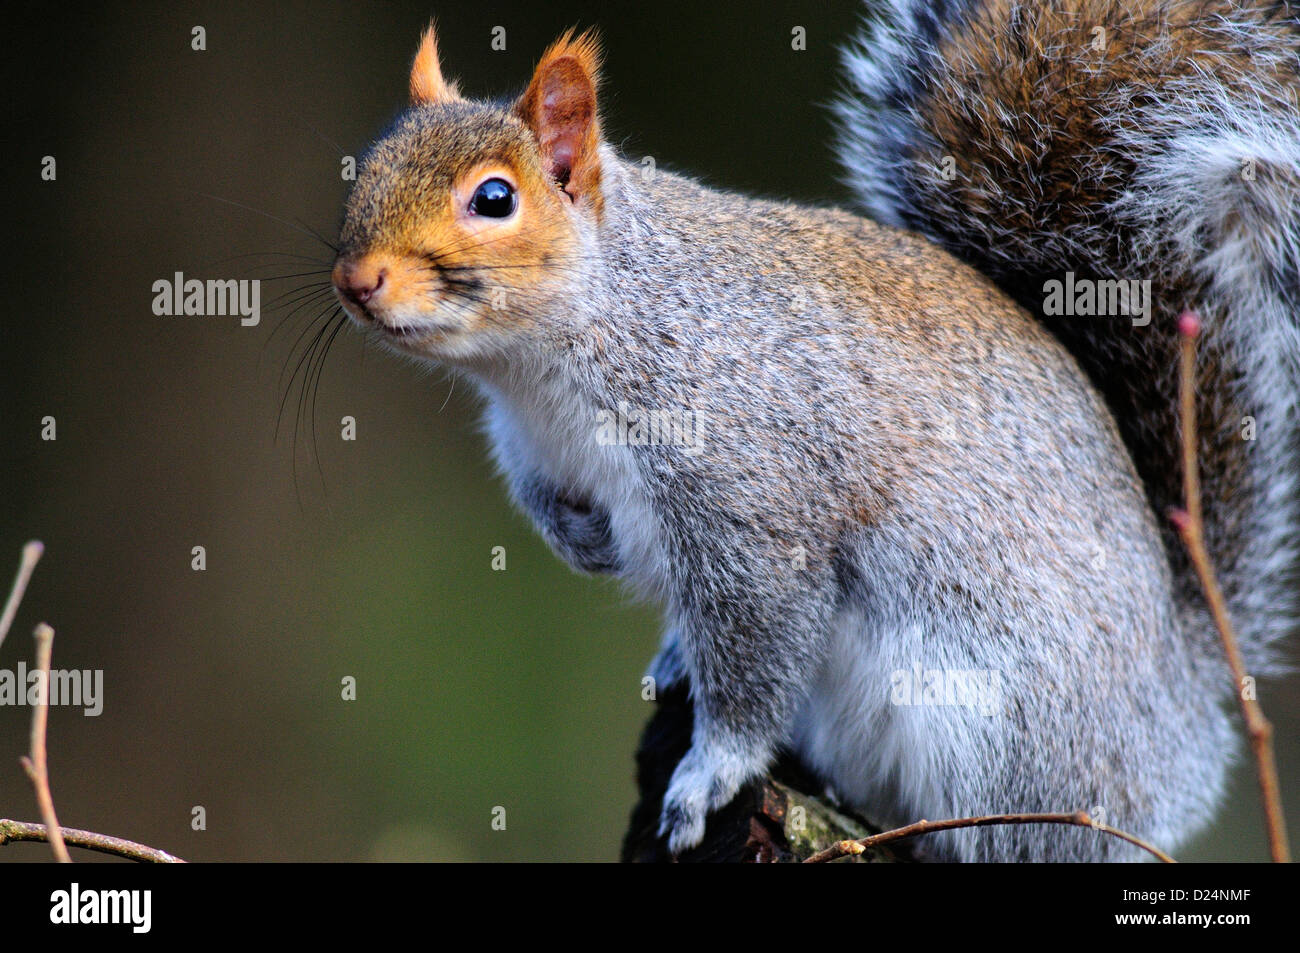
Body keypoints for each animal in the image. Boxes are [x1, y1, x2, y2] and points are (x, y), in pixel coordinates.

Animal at [330, 1, 1294, 863]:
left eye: (494, 198)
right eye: (364, 170)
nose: (355, 279)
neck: (543, 367)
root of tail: (1180, 720)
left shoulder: (750, 498)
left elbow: (754, 656)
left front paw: (709, 775)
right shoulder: (529, 445)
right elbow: (544, 503)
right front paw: (583, 541)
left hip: (1000, 730)